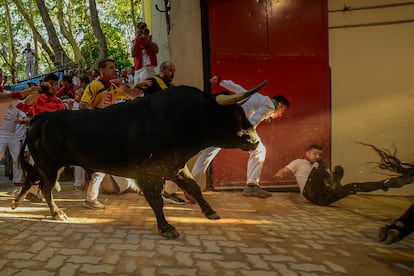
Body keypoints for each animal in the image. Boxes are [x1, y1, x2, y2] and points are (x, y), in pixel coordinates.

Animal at [12, 81, 268, 237]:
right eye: (234, 115)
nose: (255, 141)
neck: (176, 120)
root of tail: (39, 118)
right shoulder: (146, 173)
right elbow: (156, 200)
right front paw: (166, 228)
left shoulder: (175, 166)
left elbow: (194, 188)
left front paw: (210, 212)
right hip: (49, 165)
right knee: (45, 188)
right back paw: (57, 213)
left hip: (47, 164)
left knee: (33, 178)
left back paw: (17, 201)